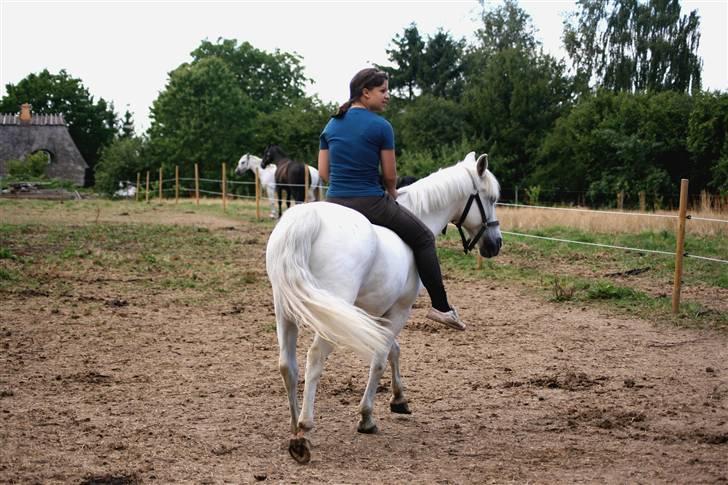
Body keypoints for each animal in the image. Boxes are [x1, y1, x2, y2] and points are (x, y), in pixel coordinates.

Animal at [266, 150, 500, 462]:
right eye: (491, 198)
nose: (495, 244)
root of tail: (306, 219)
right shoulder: (399, 310)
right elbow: (380, 356)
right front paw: (367, 417)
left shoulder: (372, 314)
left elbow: (392, 350)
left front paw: (399, 398)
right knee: (314, 359)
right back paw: (304, 431)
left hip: (287, 310)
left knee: (287, 365)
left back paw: (293, 427)